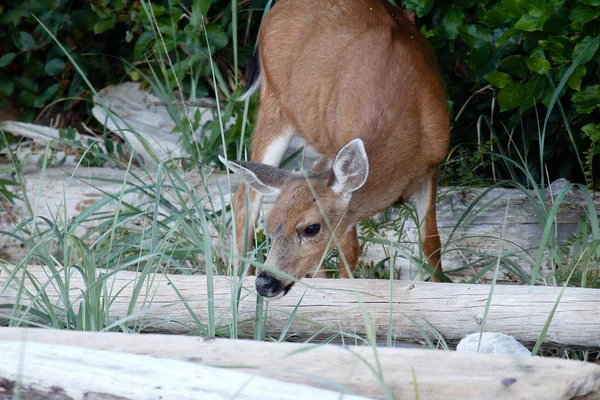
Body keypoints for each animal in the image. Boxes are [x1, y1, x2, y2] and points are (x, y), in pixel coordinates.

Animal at [223, 0, 448, 296]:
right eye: (270, 228)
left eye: (311, 228)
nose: (265, 282)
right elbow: (349, 249)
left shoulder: (432, 164)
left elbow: (431, 243)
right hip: (275, 106)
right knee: (243, 198)